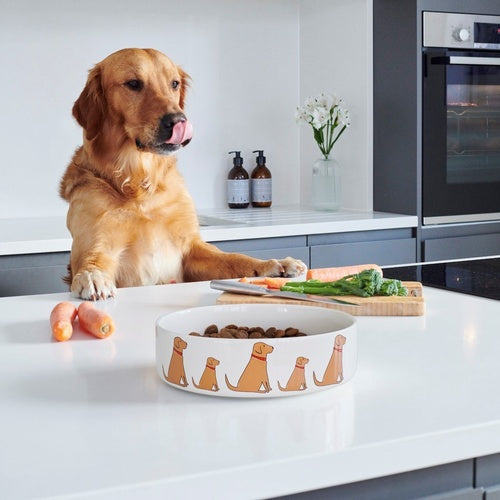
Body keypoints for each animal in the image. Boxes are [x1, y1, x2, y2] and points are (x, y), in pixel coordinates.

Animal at [60, 48, 306, 298]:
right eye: (133, 83)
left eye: (174, 83)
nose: (178, 120)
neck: (140, 183)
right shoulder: (98, 244)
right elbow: (92, 261)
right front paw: (91, 276)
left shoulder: (190, 247)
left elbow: (235, 258)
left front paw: (273, 264)